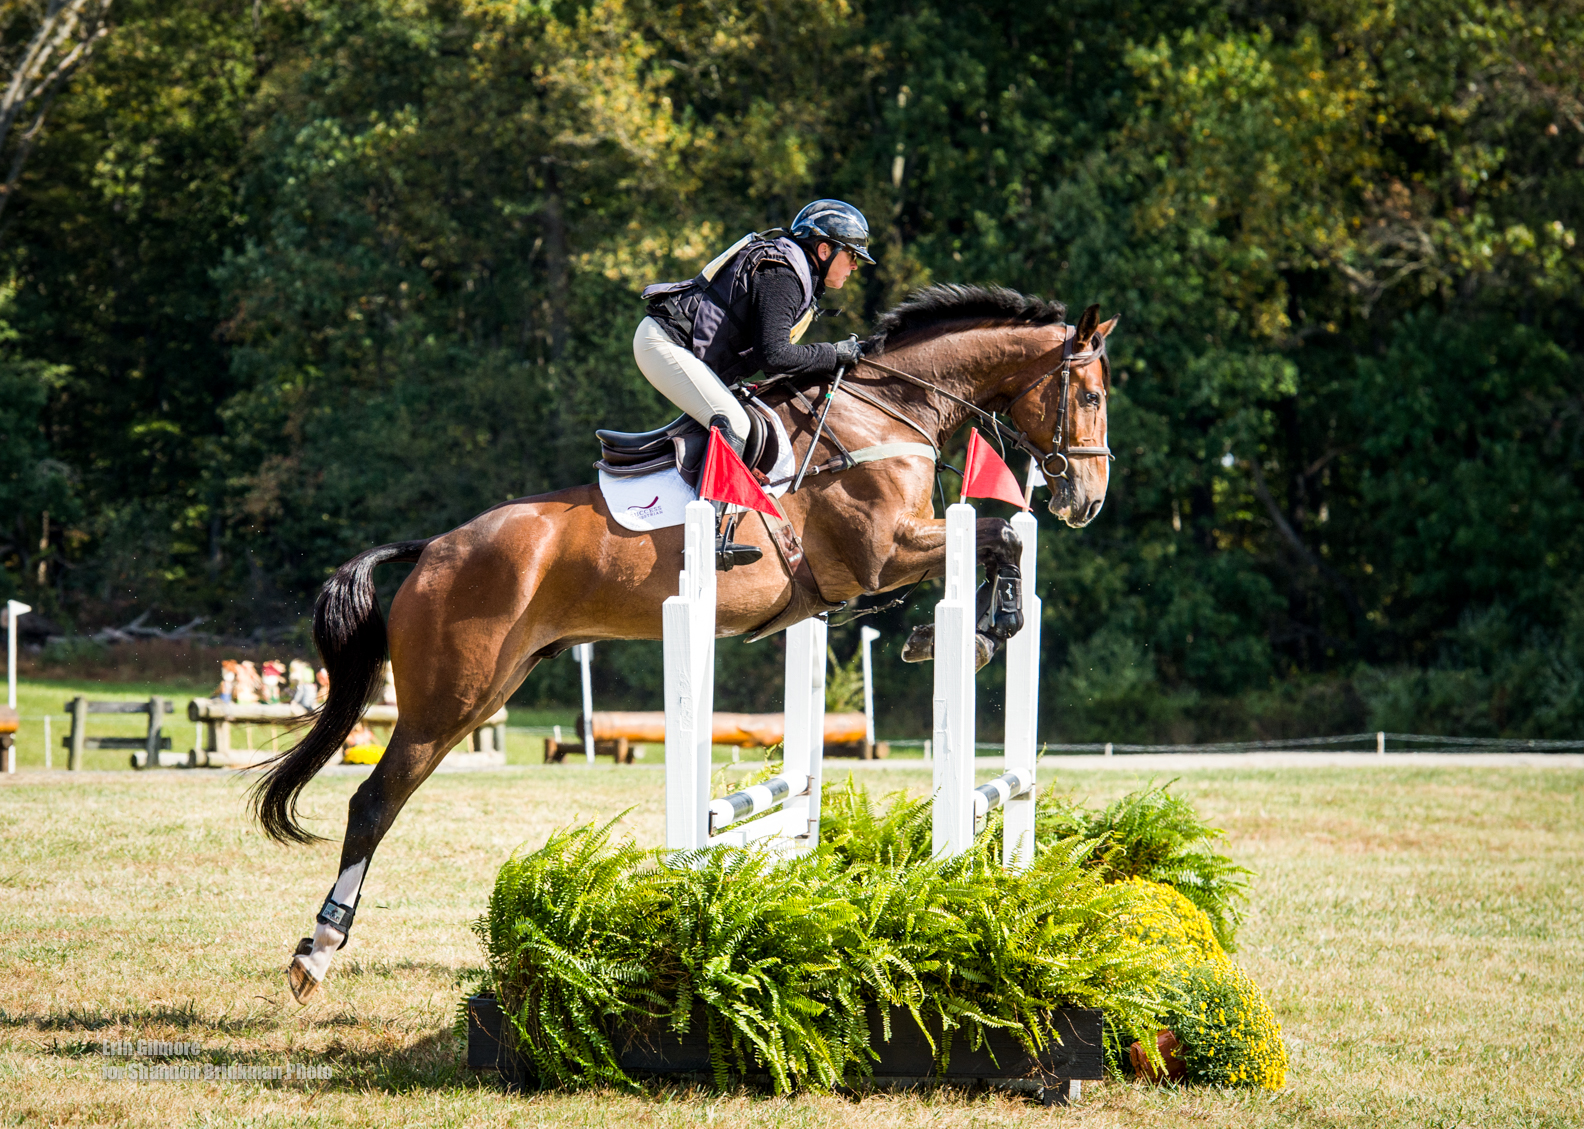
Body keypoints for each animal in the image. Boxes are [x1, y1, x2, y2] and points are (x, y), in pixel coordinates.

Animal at [253, 283, 1115, 1007]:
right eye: (1091, 394)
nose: (1087, 501)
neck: (882, 413)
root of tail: (432, 547)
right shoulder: (883, 552)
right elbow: (1001, 533)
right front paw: (968, 634)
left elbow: (1004, 539)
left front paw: (974, 629)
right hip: (448, 698)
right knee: (373, 801)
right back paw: (315, 949)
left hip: (493, 687)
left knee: (387, 797)